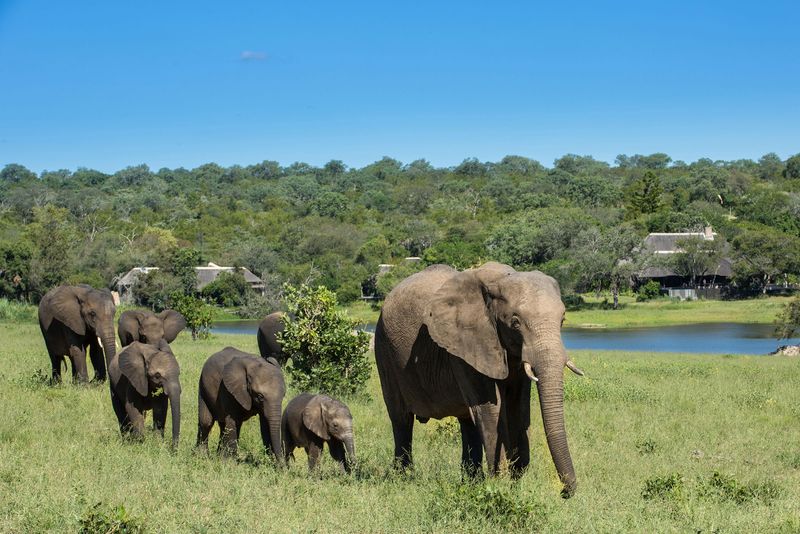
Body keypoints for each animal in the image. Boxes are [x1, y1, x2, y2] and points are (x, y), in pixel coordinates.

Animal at [374, 262, 584, 497]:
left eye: (563, 320)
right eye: (515, 323)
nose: (564, 492)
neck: (500, 280)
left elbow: (518, 408)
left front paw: (515, 485)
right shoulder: (467, 344)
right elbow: (491, 409)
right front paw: (500, 485)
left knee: (467, 421)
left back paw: (470, 482)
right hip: (384, 348)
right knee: (401, 418)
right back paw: (404, 478)